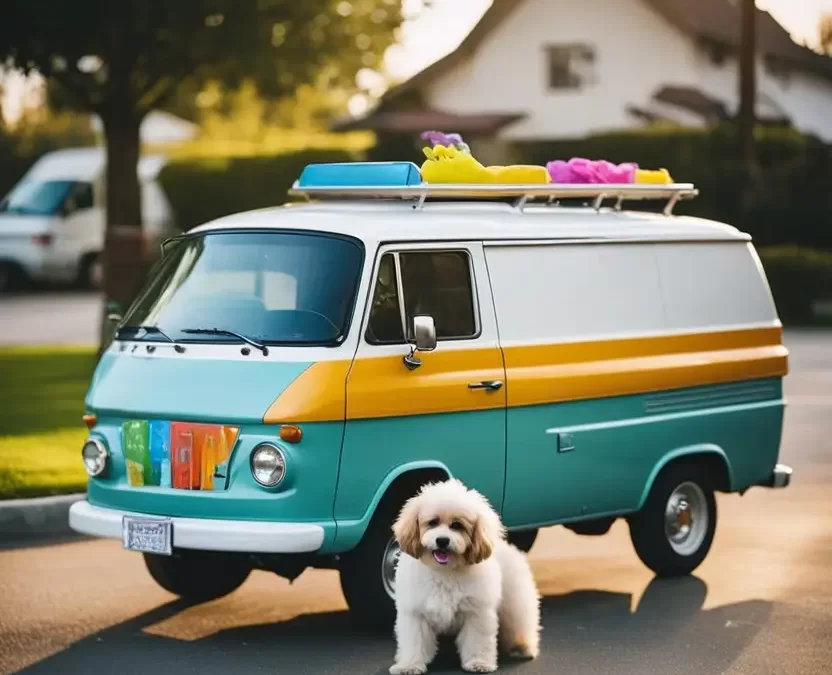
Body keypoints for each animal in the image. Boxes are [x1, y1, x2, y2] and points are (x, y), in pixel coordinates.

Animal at [388, 478, 540, 672]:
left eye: (457, 525)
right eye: (432, 522)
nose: (442, 540)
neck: (445, 571)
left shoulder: (476, 613)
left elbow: (477, 641)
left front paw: (478, 663)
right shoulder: (416, 614)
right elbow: (415, 643)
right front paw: (409, 665)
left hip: (515, 603)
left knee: (520, 623)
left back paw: (522, 647)